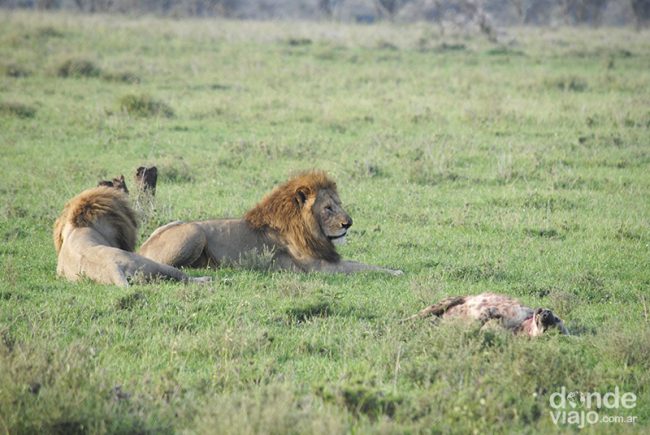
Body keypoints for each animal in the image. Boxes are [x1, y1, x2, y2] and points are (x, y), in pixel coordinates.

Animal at [140, 170, 402, 276]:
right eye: (328, 208)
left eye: (339, 204)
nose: (348, 223)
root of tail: (142, 247)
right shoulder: (321, 268)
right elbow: (364, 268)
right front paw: (396, 271)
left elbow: (360, 263)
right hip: (195, 231)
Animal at [404, 292, 568, 338]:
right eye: (557, 318)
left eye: (550, 325)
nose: (546, 313)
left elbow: (477, 328)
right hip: (449, 300)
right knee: (419, 315)